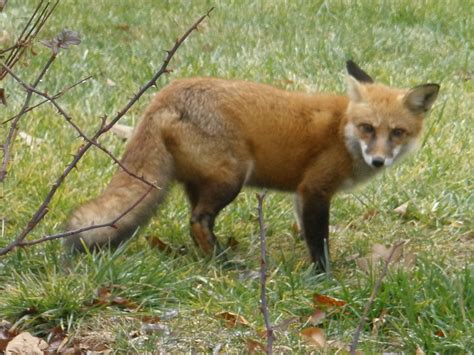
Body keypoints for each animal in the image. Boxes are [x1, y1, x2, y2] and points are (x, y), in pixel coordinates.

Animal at [65, 61, 438, 272]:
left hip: (202, 182)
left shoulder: (301, 195)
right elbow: (319, 240)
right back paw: (224, 265)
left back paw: (211, 257)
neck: (341, 131)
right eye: (368, 128)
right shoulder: (316, 188)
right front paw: (325, 275)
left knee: (195, 222)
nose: (378, 159)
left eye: (397, 132)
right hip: (232, 178)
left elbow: (307, 234)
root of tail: (165, 94)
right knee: (198, 221)